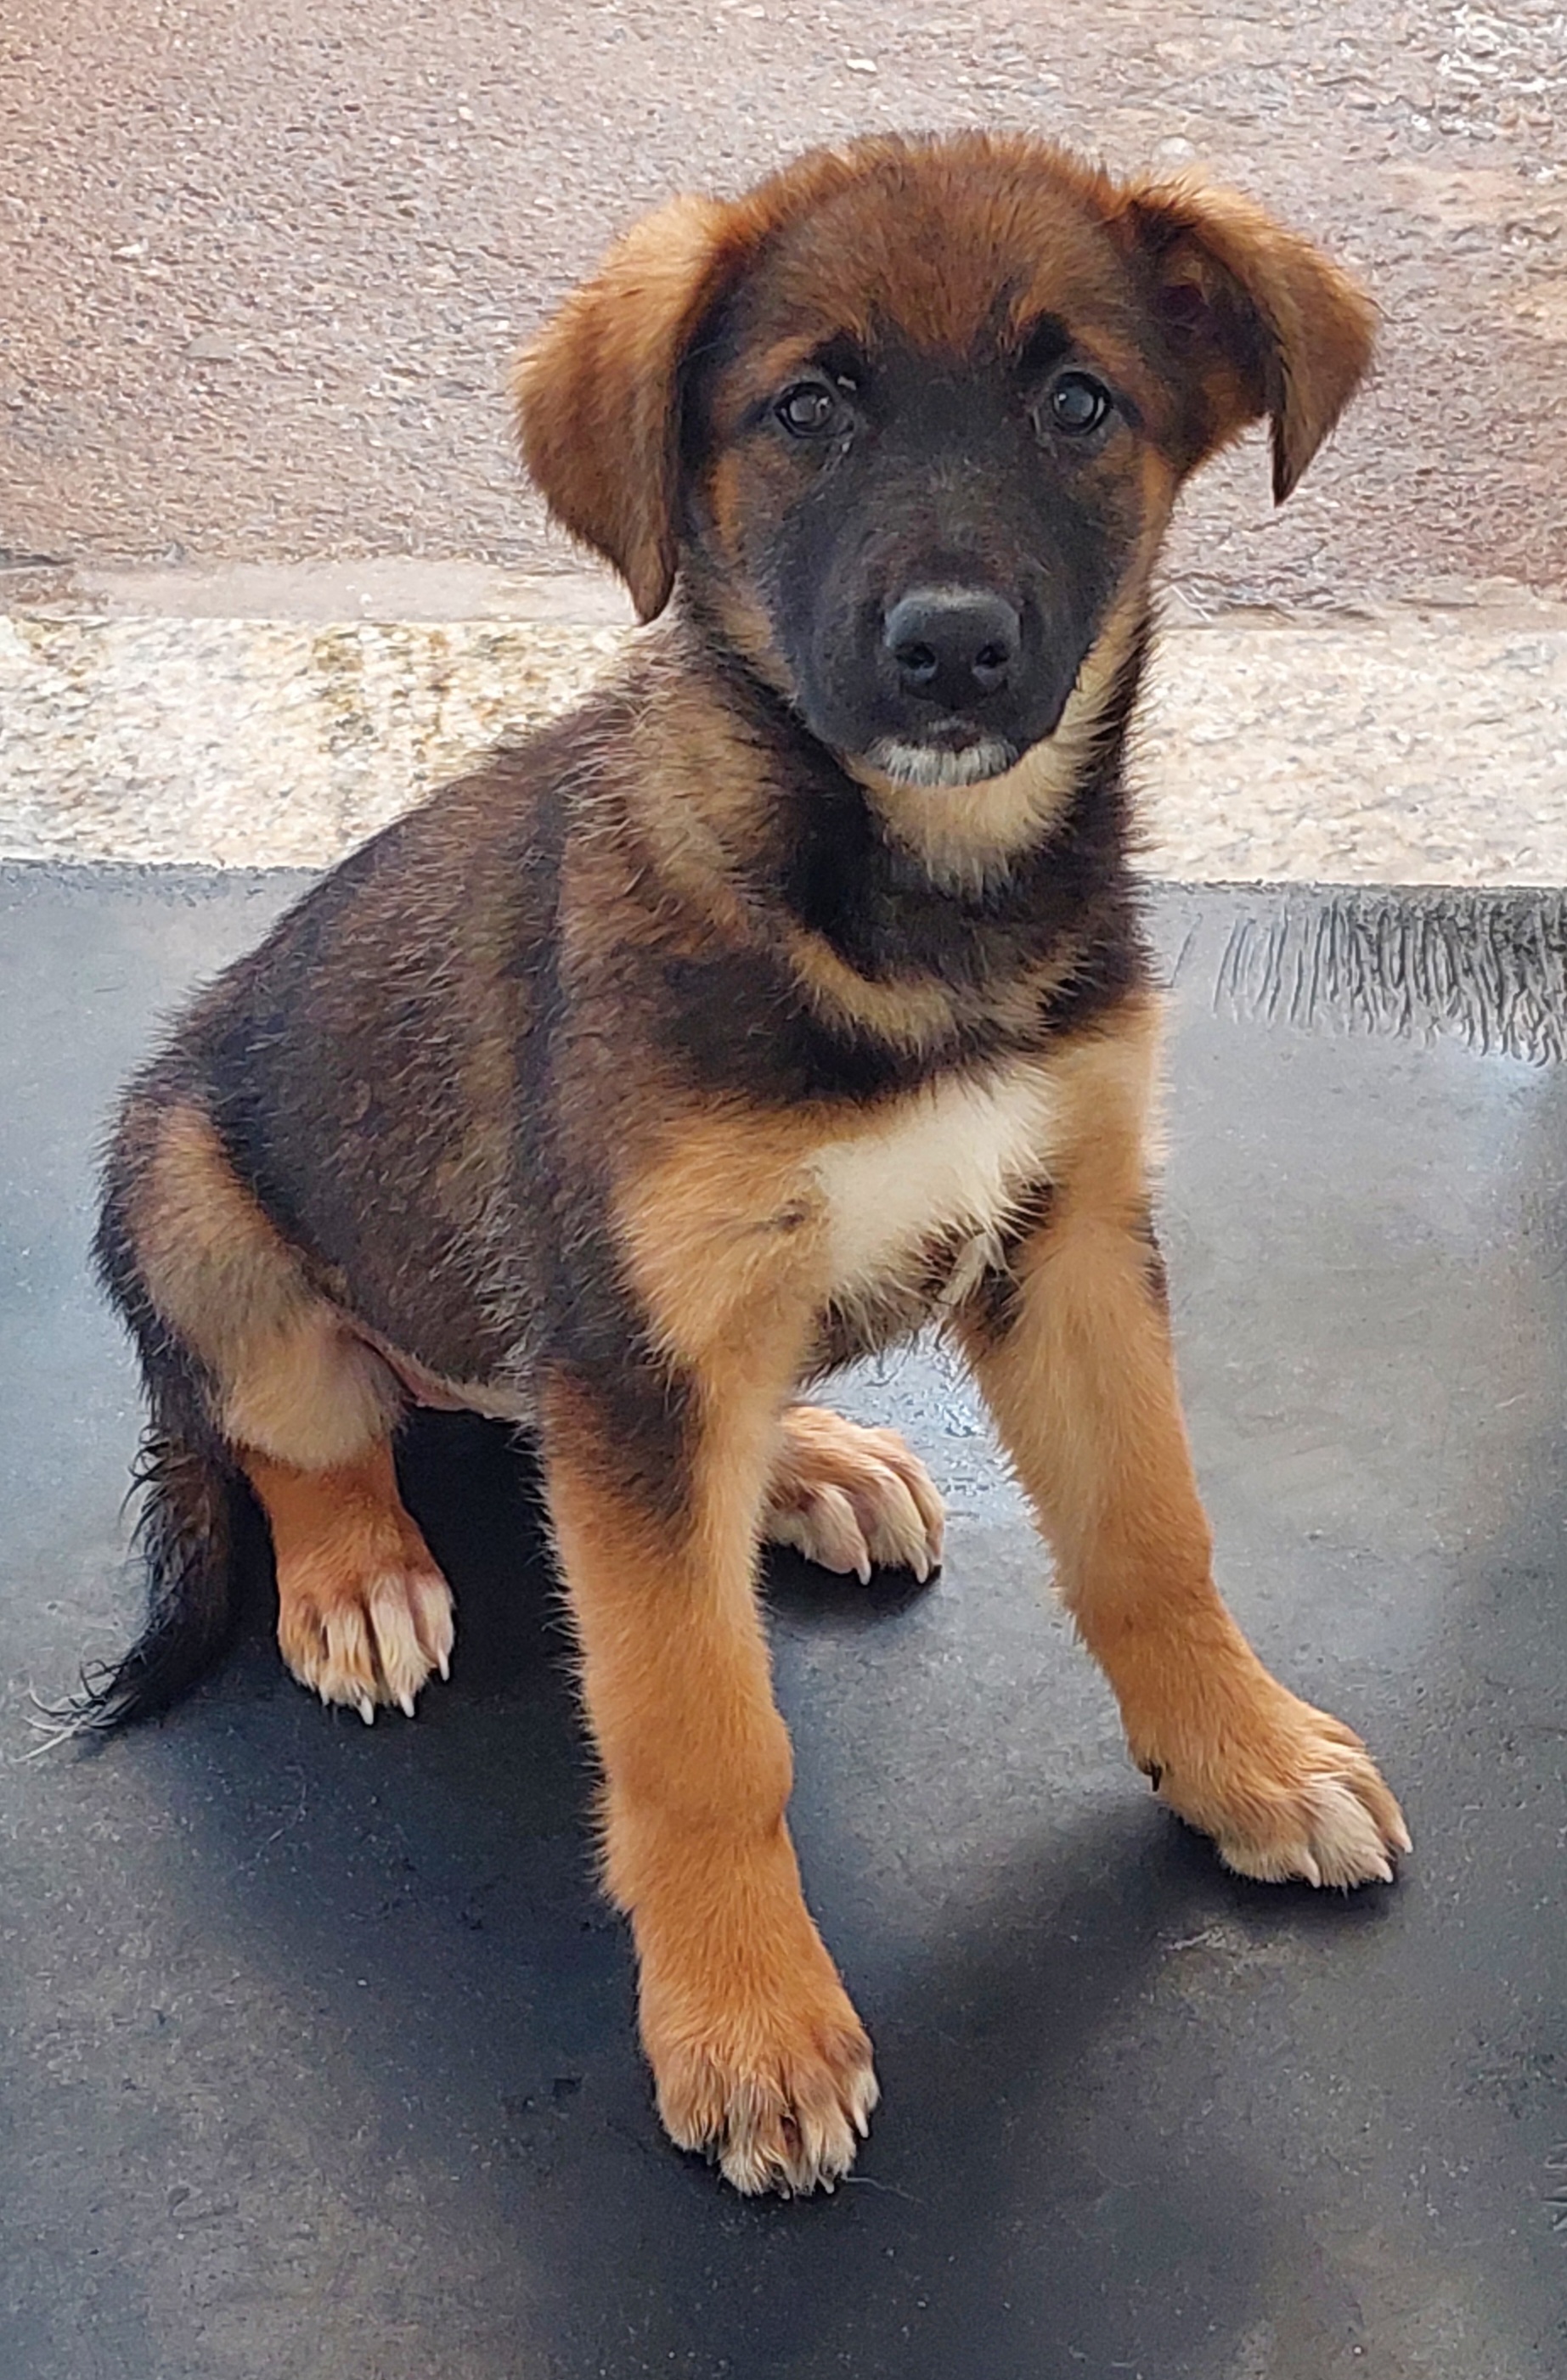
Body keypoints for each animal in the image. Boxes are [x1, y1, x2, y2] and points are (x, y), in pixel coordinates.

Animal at [85, 135, 1400, 2189]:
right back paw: (360, 1571)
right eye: (804, 412)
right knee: (303, 1427)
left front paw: (1241, 1756)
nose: (951, 649)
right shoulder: (640, 1346)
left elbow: (1152, 1538)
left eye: (1078, 403)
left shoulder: (1070, 1238)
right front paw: (750, 2019)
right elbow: (697, 1726)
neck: (912, 913)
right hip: (197, 1205)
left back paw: (809, 1460)